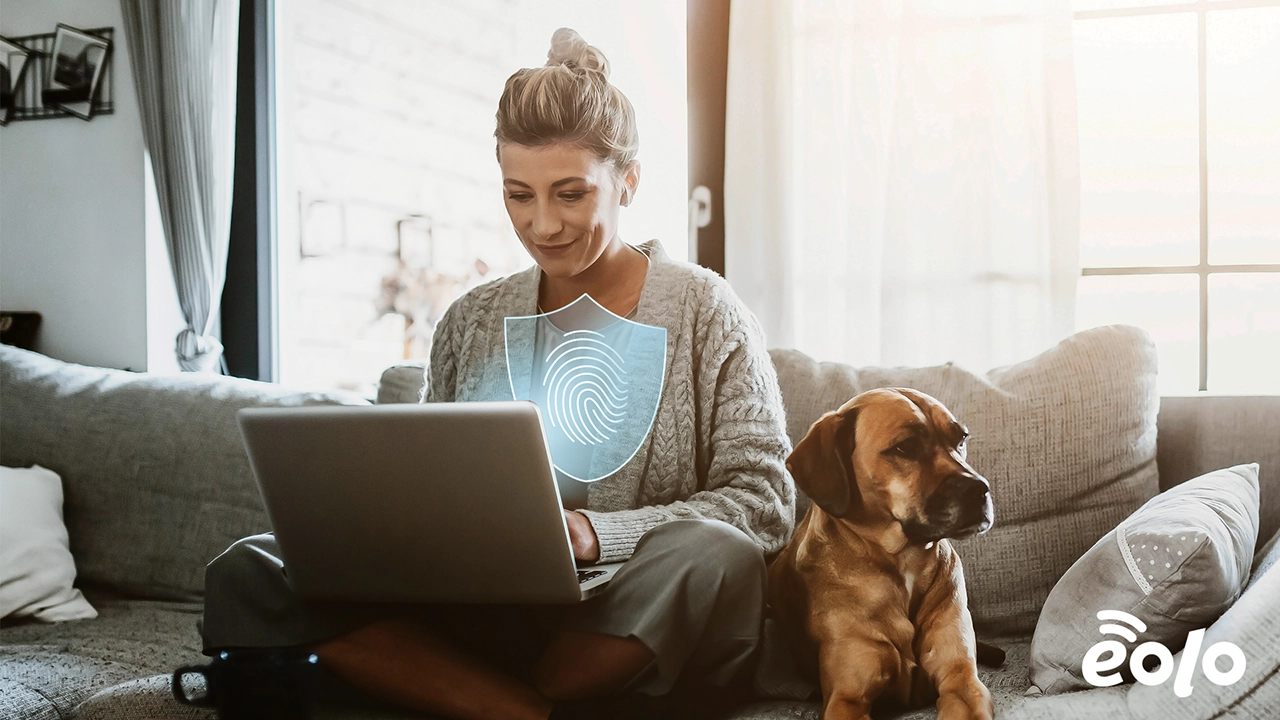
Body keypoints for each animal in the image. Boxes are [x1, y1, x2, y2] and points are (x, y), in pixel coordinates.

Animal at [768, 389, 998, 712]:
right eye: (906, 447)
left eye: (961, 439)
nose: (981, 489)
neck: (904, 562)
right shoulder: (847, 698)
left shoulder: (962, 683)